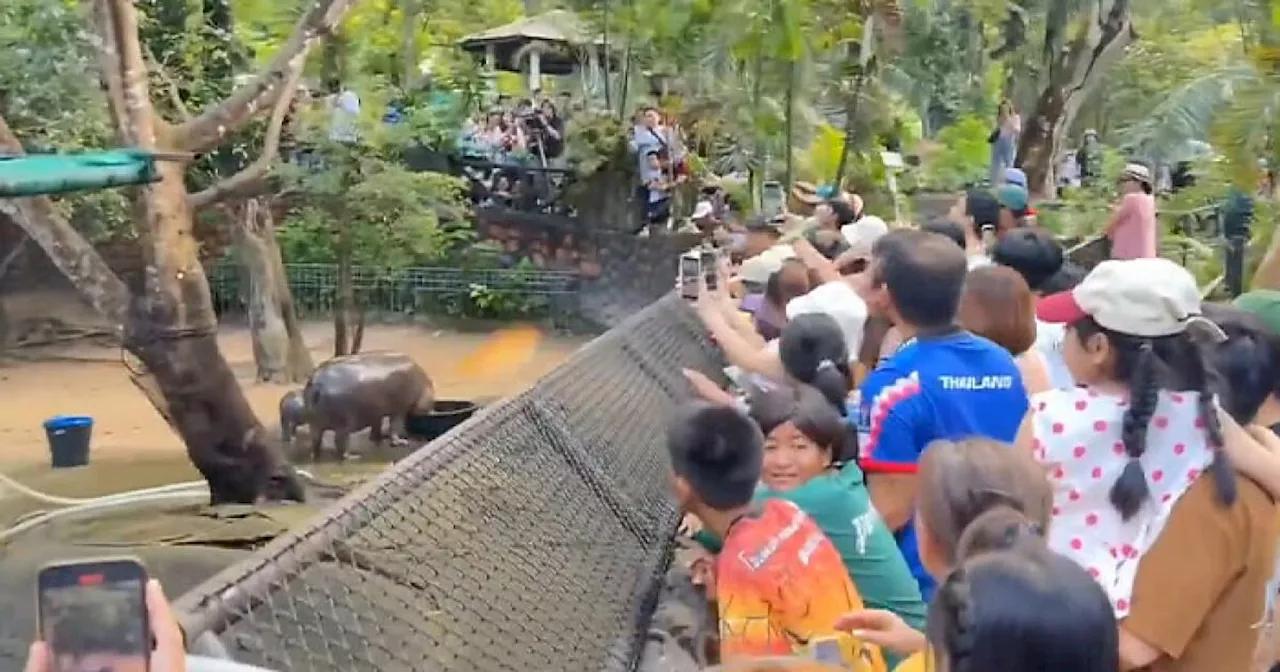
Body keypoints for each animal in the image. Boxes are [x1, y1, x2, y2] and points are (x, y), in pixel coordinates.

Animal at [303, 348, 435, 458]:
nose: (431, 408)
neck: (423, 383)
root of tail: (317, 382)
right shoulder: (399, 409)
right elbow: (394, 426)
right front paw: (400, 442)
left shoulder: (377, 412)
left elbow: (377, 425)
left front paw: (377, 438)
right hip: (344, 425)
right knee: (340, 442)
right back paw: (353, 457)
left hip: (315, 423)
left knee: (315, 440)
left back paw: (315, 455)